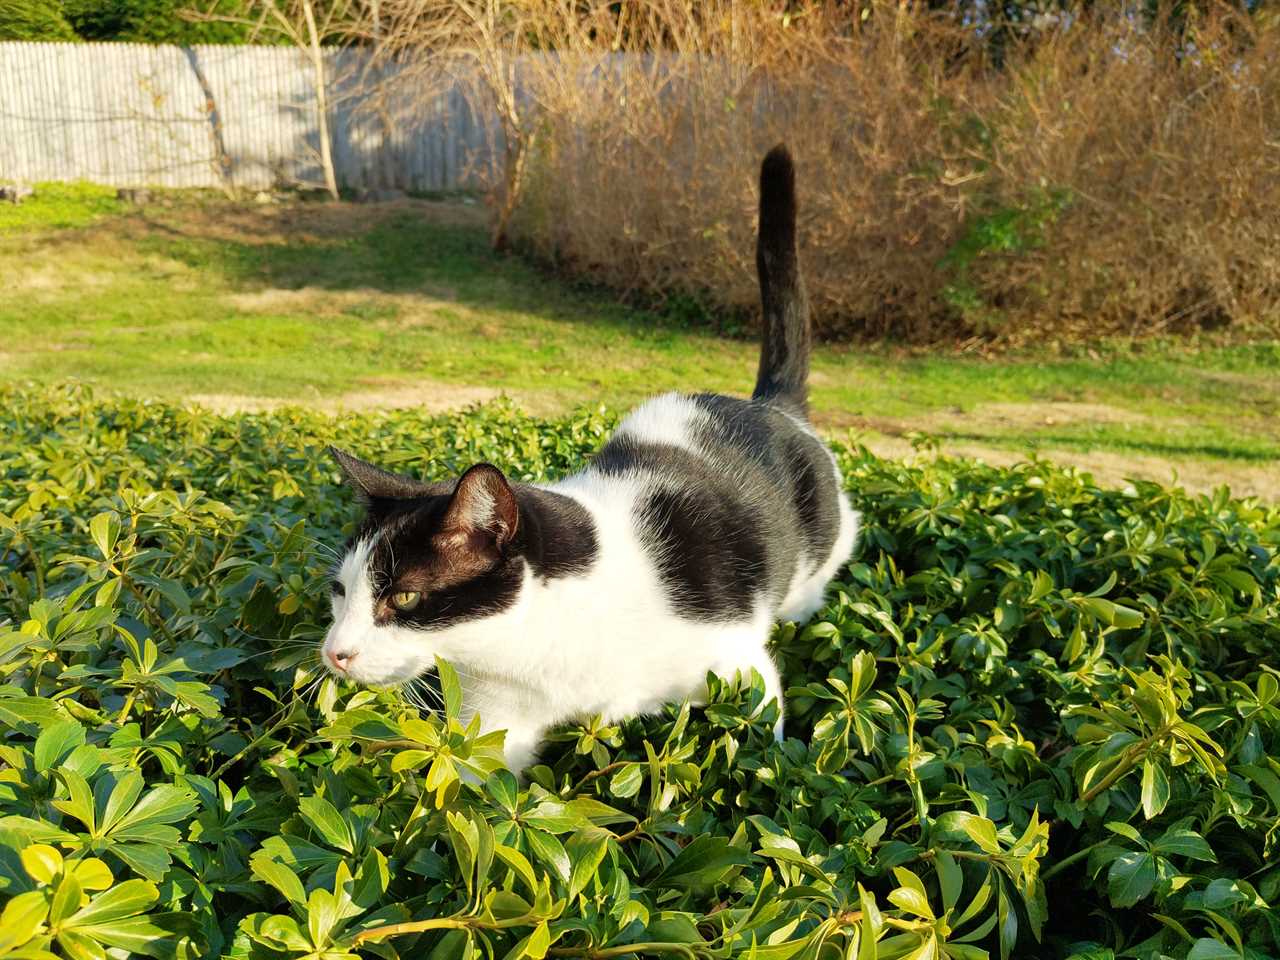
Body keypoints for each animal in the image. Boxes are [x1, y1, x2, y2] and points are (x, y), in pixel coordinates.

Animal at [320, 144, 860, 773]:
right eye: (340, 591)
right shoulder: (498, 717)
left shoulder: (739, 671)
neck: (538, 642)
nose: (334, 654)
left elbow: (759, 742)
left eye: (404, 596)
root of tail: (770, 406)